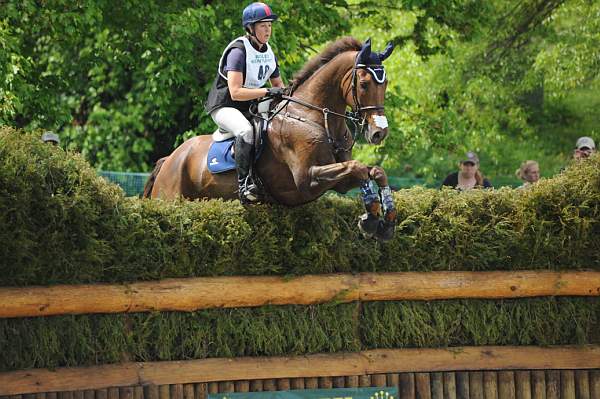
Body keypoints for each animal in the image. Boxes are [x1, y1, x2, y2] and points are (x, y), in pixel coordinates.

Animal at [143, 37, 398, 242]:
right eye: (364, 84)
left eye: (384, 84)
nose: (379, 132)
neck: (313, 117)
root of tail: (170, 159)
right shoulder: (307, 180)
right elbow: (358, 168)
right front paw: (371, 218)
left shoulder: (337, 181)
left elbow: (374, 171)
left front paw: (385, 221)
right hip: (170, 197)